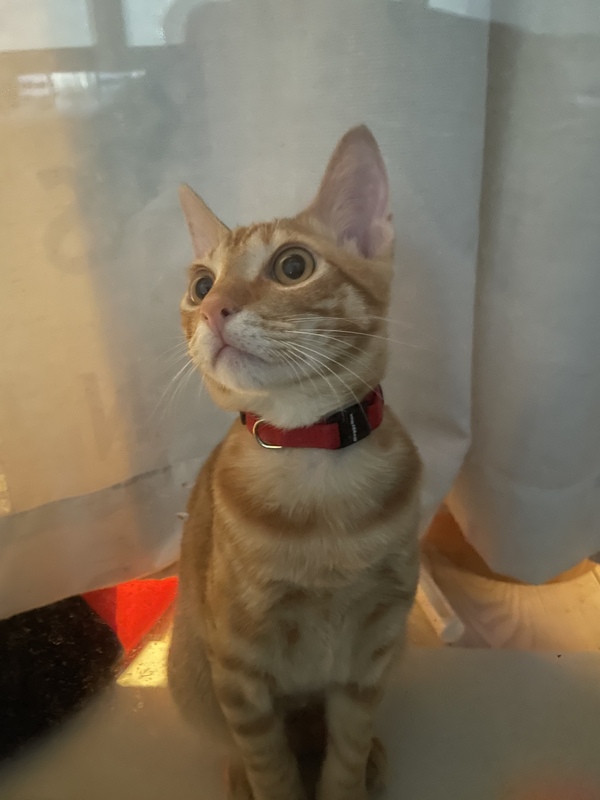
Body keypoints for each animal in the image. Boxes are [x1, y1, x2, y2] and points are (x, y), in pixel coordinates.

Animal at [167, 125, 422, 800]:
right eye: (201, 285)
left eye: (293, 266)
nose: (213, 310)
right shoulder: (237, 665)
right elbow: (270, 762)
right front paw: (269, 778)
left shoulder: (374, 650)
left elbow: (346, 749)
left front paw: (349, 777)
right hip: (190, 675)